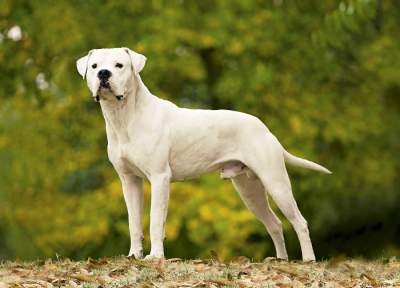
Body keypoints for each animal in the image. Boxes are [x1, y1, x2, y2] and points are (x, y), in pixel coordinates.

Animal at [76, 47, 332, 260]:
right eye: (94, 66)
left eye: (119, 65)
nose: (104, 74)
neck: (124, 117)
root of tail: (265, 129)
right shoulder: (129, 181)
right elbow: (134, 223)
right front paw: (134, 255)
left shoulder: (160, 178)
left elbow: (156, 221)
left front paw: (155, 257)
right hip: (250, 190)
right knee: (275, 224)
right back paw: (281, 261)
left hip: (275, 182)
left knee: (299, 222)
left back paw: (308, 260)